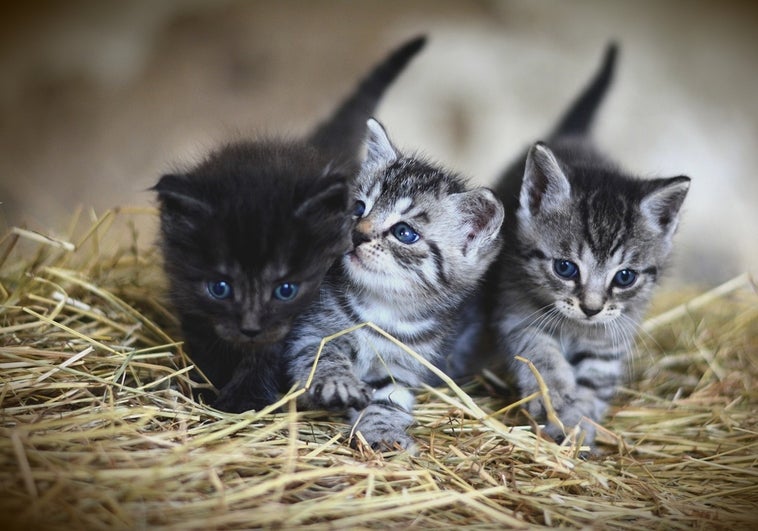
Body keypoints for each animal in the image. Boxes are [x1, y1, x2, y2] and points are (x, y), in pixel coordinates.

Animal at [154, 36, 428, 412]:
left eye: (286, 290)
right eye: (219, 287)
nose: (250, 328)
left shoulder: (303, 318)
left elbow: (270, 353)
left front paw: (246, 399)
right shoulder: (189, 300)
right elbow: (207, 344)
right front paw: (210, 386)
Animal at [288, 118, 508, 450]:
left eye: (404, 232)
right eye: (358, 208)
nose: (358, 234)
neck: (383, 308)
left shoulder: (403, 367)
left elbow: (388, 400)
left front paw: (383, 432)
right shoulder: (310, 332)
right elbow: (322, 355)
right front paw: (337, 381)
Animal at [490, 44, 692, 444]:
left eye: (625, 277)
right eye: (565, 268)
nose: (591, 309)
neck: (576, 328)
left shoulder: (612, 336)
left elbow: (595, 382)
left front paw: (578, 423)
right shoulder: (514, 309)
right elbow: (538, 351)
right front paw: (554, 393)